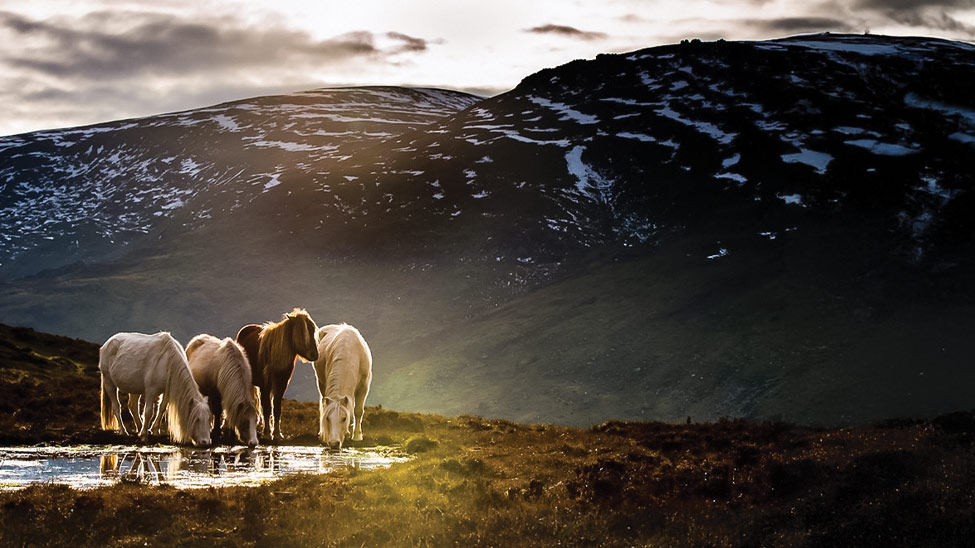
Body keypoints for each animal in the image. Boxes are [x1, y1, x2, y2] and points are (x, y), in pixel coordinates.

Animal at [234, 308, 318, 440]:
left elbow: (277, 407)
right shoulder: (265, 385)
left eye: (312, 329)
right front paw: (267, 433)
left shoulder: (281, 385)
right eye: (301, 331)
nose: (315, 355)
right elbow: (267, 408)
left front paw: (278, 434)